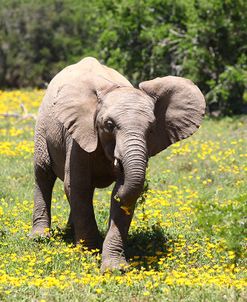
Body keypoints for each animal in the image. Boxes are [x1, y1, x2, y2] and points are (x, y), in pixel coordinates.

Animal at [29, 56, 206, 272]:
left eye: (151, 129)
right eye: (109, 125)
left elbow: (123, 194)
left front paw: (116, 269)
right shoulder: (79, 136)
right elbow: (77, 186)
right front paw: (88, 253)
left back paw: (71, 232)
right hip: (42, 127)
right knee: (43, 174)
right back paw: (40, 238)